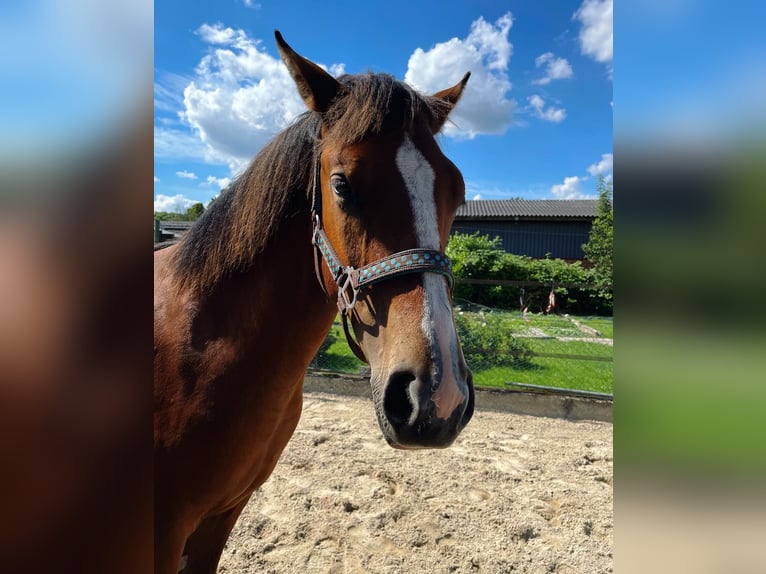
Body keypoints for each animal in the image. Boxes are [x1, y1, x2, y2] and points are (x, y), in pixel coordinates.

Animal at [154, 32, 476, 574]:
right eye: (342, 184)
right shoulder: (164, 529)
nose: (438, 395)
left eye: (457, 191)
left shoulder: (220, 516)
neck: (204, 343)